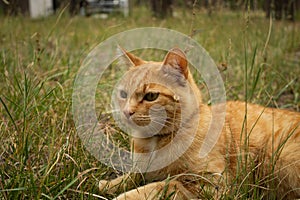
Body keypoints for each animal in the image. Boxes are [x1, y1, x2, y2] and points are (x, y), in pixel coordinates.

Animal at [99, 47, 300, 199]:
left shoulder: (212, 185)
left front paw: (123, 196)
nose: (126, 112)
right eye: (123, 94)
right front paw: (109, 185)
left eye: (151, 96)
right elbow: (132, 175)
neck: (154, 143)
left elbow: (162, 185)